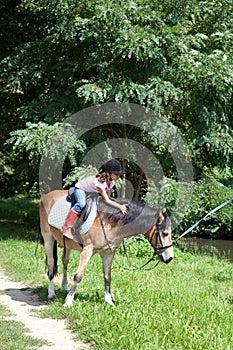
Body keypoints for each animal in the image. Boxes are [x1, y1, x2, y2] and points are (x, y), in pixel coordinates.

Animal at [40, 189, 174, 306]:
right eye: (165, 233)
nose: (170, 257)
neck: (109, 221)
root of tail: (48, 196)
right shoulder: (87, 251)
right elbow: (78, 276)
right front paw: (68, 302)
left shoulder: (108, 253)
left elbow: (107, 277)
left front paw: (109, 301)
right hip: (48, 237)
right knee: (51, 264)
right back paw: (51, 293)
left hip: (67, 245)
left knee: (65, 262)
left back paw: (65, 287)